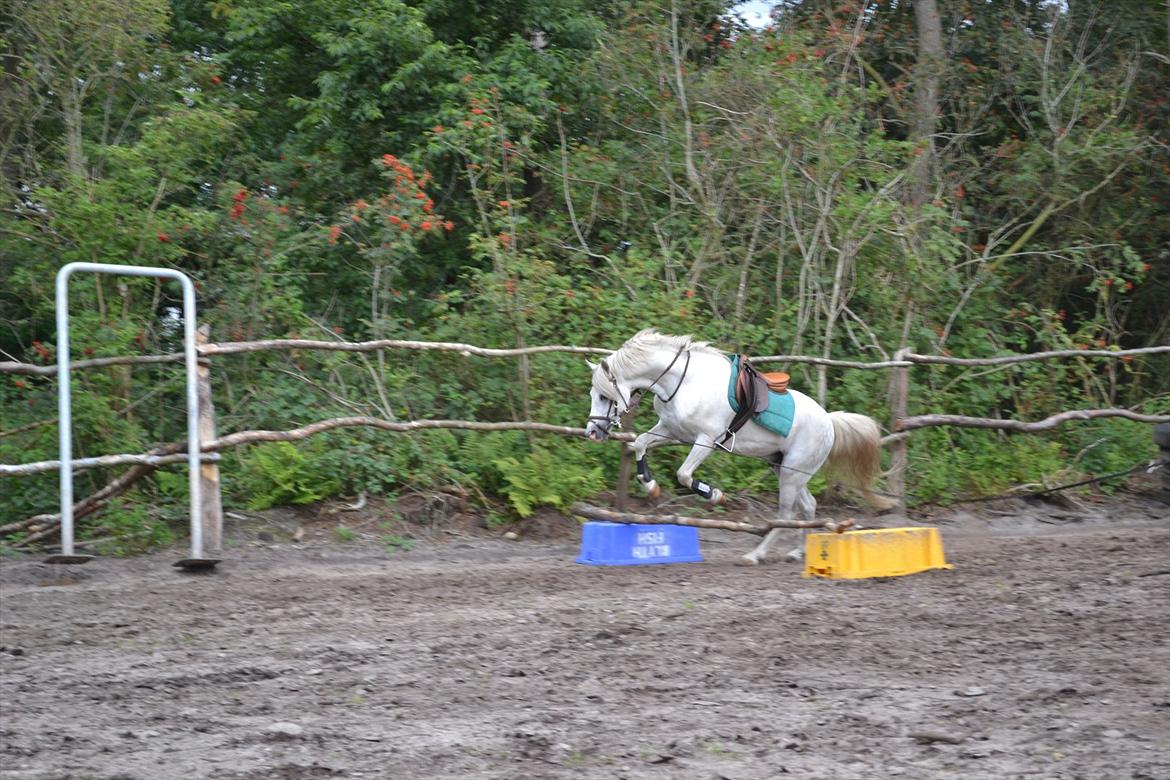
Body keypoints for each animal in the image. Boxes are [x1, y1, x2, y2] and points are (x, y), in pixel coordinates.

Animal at [584, 330, 895, 565]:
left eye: (604, 396)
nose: (592, 432)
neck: (683, 382)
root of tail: (828, 420)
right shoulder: (673, 431)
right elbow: (640, 443)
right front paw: (650, 486)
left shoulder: (705, 440)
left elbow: (683, 475)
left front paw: (714, 495)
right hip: (784, 468)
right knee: (808, 506)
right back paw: (797, 551)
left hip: (793, 473)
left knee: (786, 513)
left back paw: (756, 554)